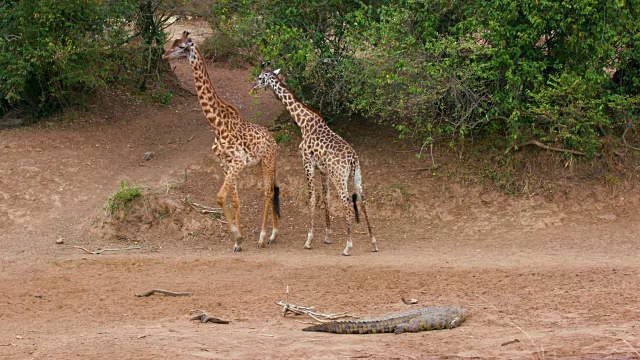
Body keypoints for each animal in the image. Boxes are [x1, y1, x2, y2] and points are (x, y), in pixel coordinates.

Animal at [162, 32, 280, 252]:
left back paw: (263, 237)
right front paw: (238, 241)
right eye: (173, 43)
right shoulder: (225, 164)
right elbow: (234, 200)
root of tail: (275, 142)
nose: (164, 54)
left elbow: (219, 196)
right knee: (273, 190)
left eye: (181, 46)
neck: (217, 124)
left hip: (267, 162)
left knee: (268, 193)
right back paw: (273, 235)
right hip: (263, 163)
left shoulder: (238, 161)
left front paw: (238, 235)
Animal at [251, 64, 380, 256]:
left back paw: (348, 246)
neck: (303, 121)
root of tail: (352, 160)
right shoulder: (323, 169)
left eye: (260, 77)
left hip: (339, 177)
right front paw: (327, 236)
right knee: (363, 201)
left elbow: (312, 197)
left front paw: (309, 240)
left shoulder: (307, 161)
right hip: (357, 175)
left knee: (347, 202)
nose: (254, 86)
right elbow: (325, 197)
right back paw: (373, 242)